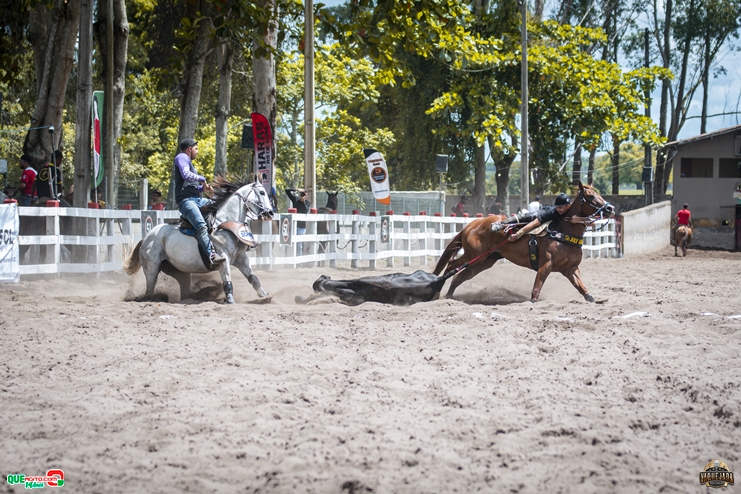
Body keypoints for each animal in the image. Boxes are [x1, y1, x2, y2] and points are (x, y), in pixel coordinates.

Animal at [124, 179, 274, 302]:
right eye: (262, 192)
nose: (271, 213)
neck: (224, 223)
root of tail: (145, 238)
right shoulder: (223, 259)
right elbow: (227, 280)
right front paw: (230, 300)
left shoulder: (241, 258)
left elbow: (253, 278)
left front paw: (264, 296)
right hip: (151, 268)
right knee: (149, 291)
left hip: (179, 271)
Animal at [434, 183, 612, 302]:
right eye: (590, 196)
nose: (610, 209)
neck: (563, 233)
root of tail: (471, 225)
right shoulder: (545, 265)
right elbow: (536, 288)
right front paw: (532, 301)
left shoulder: (571, 269)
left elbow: (583, 289)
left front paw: (594, 299)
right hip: (474, 255)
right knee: (451, 265)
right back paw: (436, 291)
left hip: (485, 261)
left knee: (459, 277)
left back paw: (448, 296)